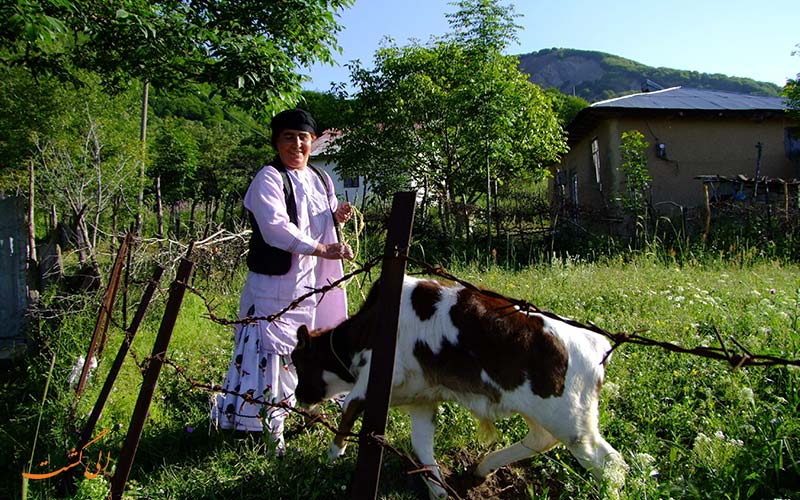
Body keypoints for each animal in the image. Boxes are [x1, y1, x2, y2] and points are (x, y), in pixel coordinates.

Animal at [290, 276, 628, 498]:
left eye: (297, 361)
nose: (297, 396)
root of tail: (595, 341)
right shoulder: (422, 400)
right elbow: (422, 448)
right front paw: (438, 490)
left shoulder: (378, 373)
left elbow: (350, 405)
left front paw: (335, 450)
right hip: (544, 413)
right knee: (542, 440)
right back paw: (483, 467)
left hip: (571, 422)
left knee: (610, 463)